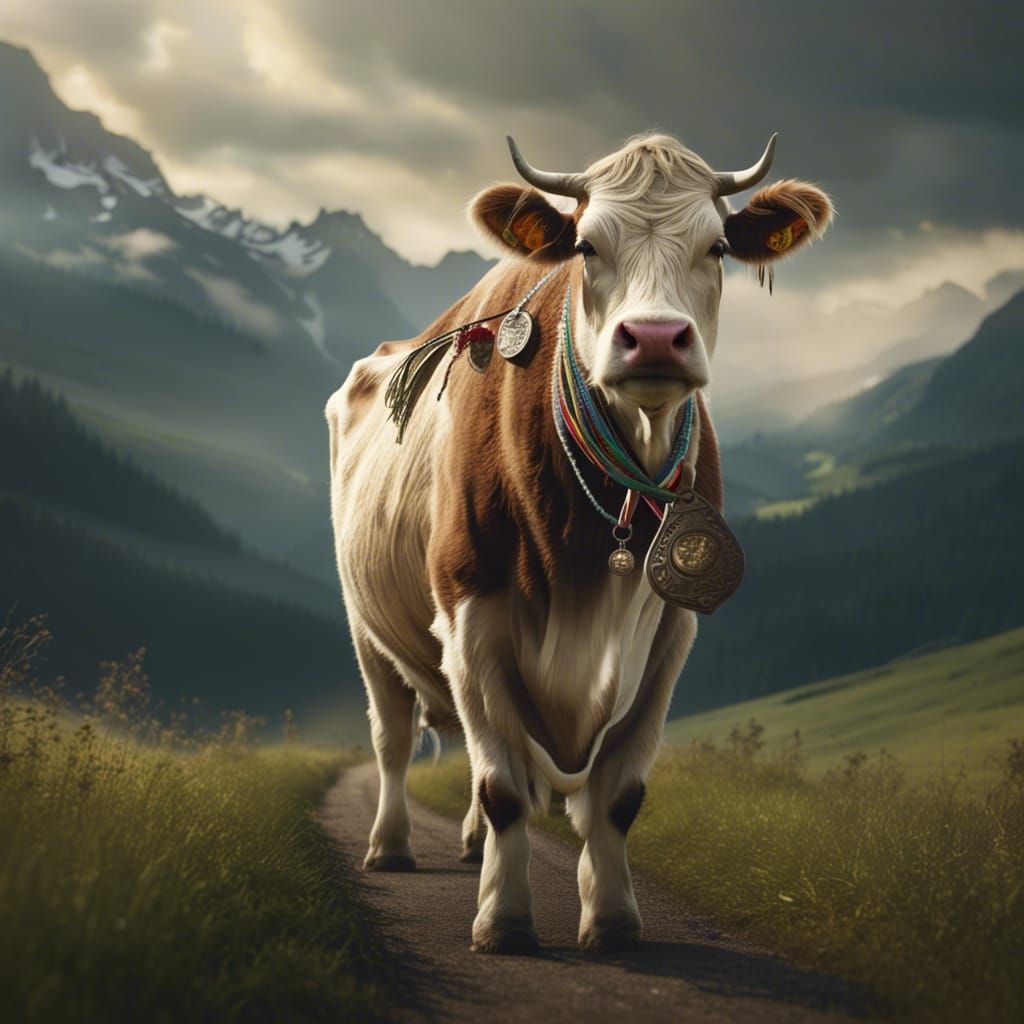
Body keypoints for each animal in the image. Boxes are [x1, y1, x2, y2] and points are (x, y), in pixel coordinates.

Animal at [327, 132, 832, 954]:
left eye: (719, 246)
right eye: (588, 246)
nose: (654, 337)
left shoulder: (669, 632)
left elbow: (619, 795)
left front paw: (615, 918)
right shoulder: (470, 615)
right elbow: (503, 786)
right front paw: (504, 920)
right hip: (365, 627)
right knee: (393, 739)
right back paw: (391, 846)